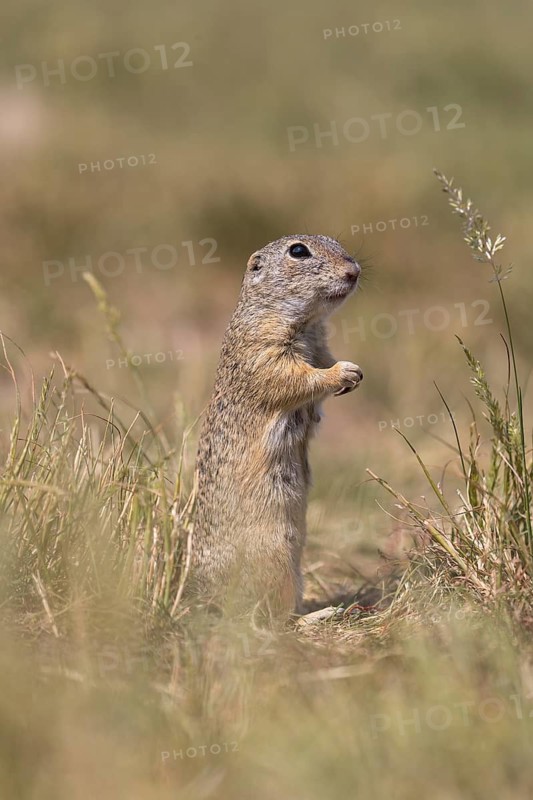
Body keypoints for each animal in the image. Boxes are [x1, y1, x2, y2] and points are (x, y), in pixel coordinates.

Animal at [188, 234, 363, 620]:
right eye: (298, 251)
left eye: (336, 241)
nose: (354, 271)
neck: (307, 323)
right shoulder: (265, 352)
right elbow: (297, 377)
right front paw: (344, 372)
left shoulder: (320, 344)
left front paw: (355, 375)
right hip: (276, 556)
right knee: (276, 619)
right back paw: (320, 615)